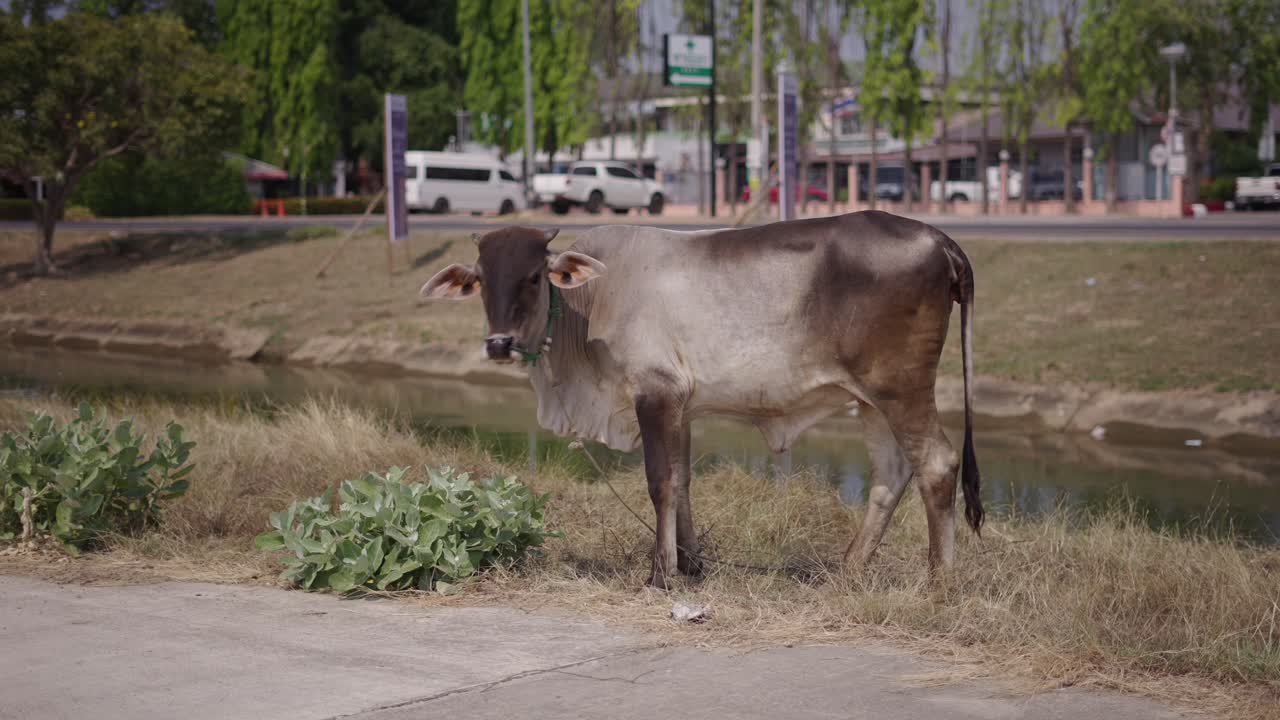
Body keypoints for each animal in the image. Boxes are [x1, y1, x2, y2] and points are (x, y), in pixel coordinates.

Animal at [421, 211, 982, 589]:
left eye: (535, 276)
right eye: (480, 281)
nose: (499, 344)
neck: (593, 300)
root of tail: (938, 238)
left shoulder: (655, 393)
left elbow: (659, 482)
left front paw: (660, 574)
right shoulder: (680, 407)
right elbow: (682, 478)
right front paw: (690, 564)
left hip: (901, 388)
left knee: (936, 463)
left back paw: (940, 582)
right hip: (870, 399)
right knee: (891, 473)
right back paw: (849, 568)